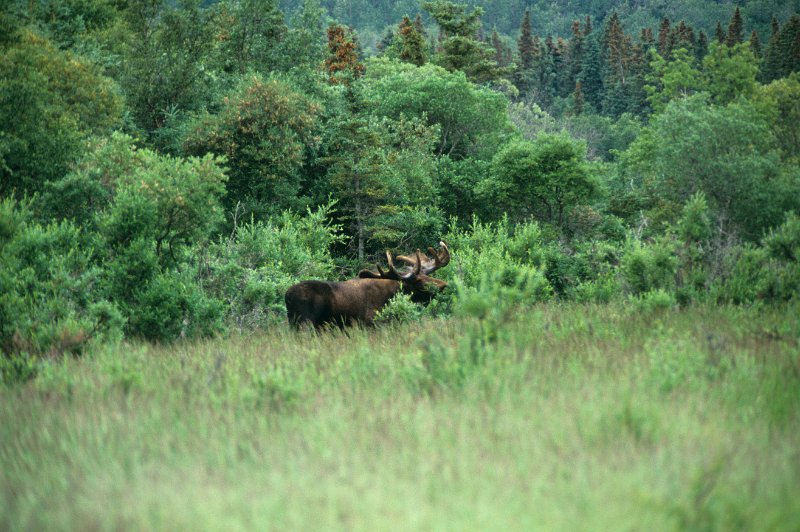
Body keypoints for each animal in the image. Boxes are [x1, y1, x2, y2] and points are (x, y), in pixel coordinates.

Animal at [286, 242, 450, 328]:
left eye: (427, 275)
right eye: (418, 281)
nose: (443, 285)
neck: (392, 294)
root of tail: (286, 296)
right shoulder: (370, 323)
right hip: (304, 323)